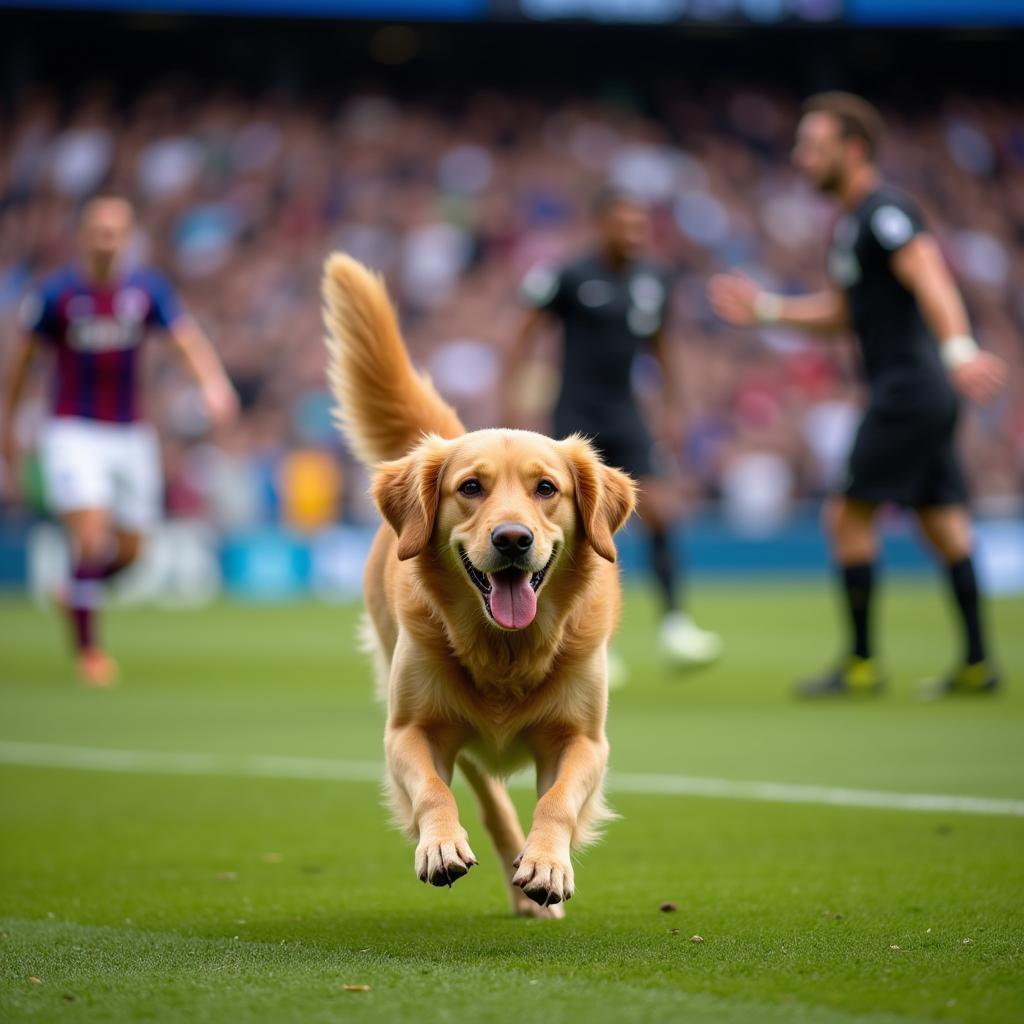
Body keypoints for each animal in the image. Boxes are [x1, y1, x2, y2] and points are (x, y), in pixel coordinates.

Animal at [323, 251, 634, 917]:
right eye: (470, 487)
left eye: (546, 488)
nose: (512, 539)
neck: (505, 652)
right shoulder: (409, 729)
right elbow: (432, 791)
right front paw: (440, 846)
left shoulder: (583, 739)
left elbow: (558, 801)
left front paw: (547, 865)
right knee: (487, 800)